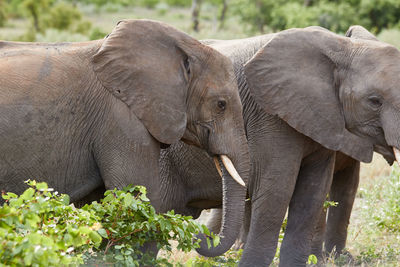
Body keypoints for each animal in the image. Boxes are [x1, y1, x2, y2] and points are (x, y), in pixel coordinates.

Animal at [161, 25, 400, 267]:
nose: (200, 236)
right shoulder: (270, 117)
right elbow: (276, 190)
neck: (341, 46)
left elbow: (316, 193)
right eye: (374, 101)